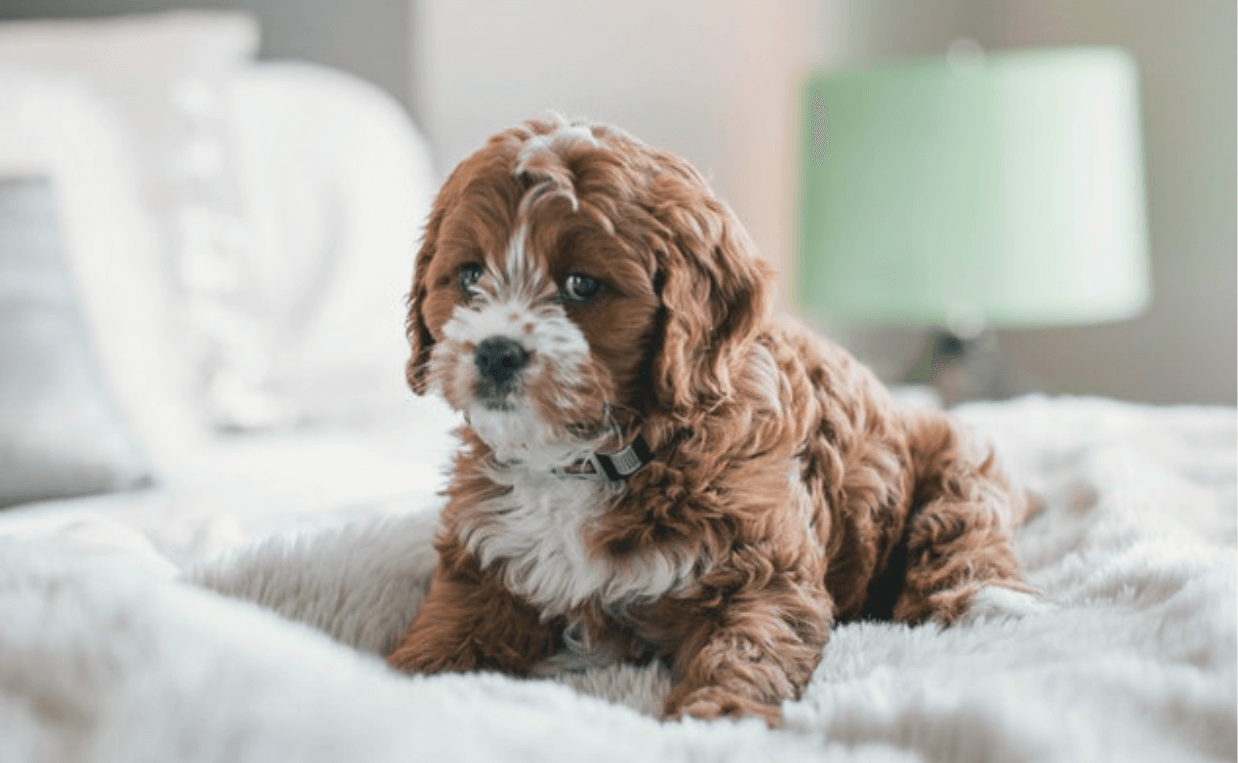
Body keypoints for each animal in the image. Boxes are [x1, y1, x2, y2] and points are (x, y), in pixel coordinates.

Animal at [383, 116, 1034, 723]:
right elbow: (448, 631)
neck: (592, 458)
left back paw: (993, 605)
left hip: (955, 457)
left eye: (582, 284)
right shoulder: (484, 563)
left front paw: (715, 720)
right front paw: (398, 680)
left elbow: (747, 650)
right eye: (470, 275)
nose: (495, 353)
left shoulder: (763, 568)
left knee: (965, 529)